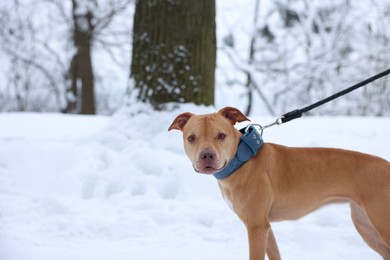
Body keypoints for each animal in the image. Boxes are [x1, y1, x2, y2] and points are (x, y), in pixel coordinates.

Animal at [168, 106, 390, 260]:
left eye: (221, 135)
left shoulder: (256, 228)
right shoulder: (265, 228)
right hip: (366, 227)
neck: (241, 160)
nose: (206, 155)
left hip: (382, 225)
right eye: (191, 138)